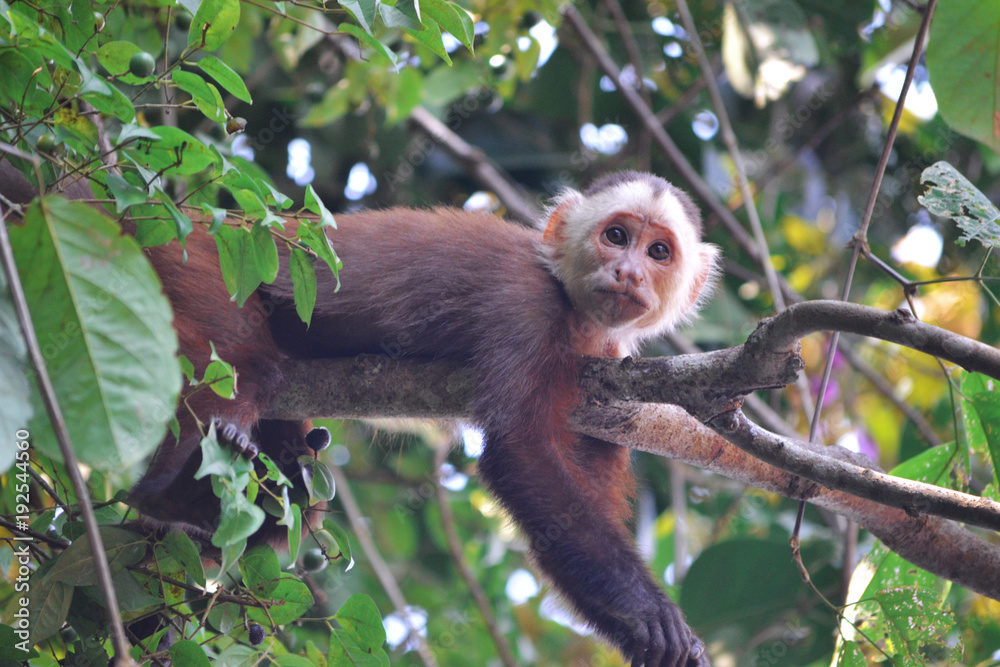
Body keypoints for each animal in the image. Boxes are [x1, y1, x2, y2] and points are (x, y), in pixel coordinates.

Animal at [1, 163, 717, 666]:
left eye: (658, 252)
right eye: (616, 236)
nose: (628, 272)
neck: (573, 310)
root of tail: (176, 219)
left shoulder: (608, 361)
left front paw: (633, 633)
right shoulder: (526, 306)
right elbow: (519, 453)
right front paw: (649, 613)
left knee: (294, 483)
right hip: (201, 266)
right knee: (246, 365)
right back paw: (169, 487)